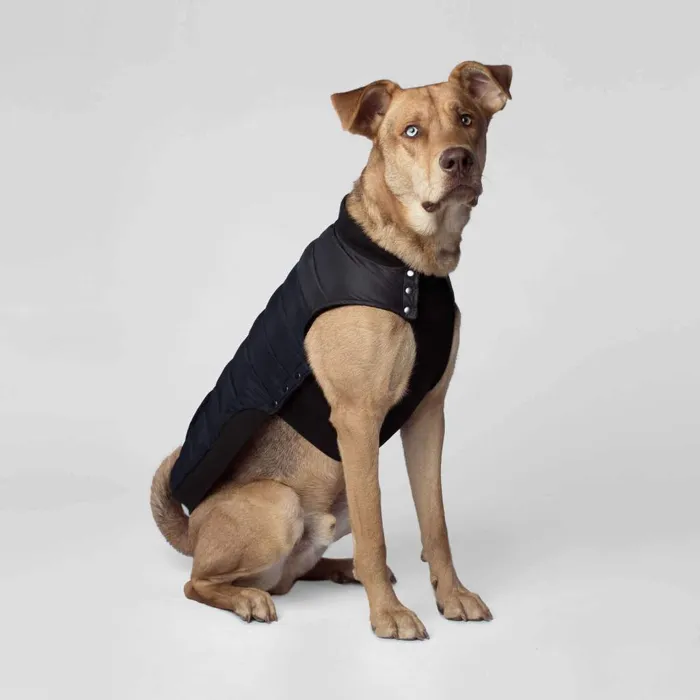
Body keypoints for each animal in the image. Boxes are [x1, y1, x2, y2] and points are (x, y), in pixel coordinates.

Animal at [151, 61, 512, 640]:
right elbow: (376, 530)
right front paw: (389, 614)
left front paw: (451, 595)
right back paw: (251, 597)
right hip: (279, 505)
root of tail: (192, 531)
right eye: (411, 131)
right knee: (198, 583)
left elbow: (435, 523)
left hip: (328, 510)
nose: (458, 160)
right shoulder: (357, 421)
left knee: (294, 575)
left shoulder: (428, 416)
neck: (409, 264)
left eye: (467, 119)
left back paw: (338, 570)